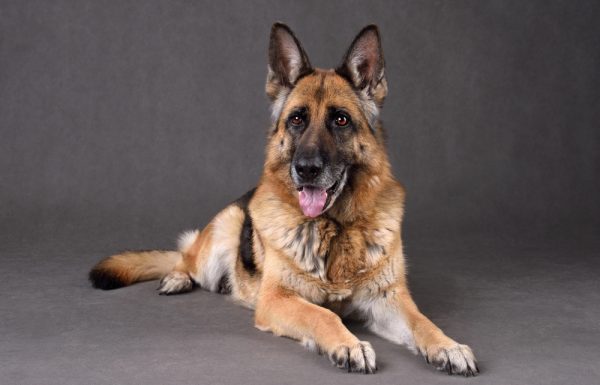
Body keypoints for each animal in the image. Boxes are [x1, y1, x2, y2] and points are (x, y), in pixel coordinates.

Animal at [89, 23, 480, 376]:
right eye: (296, 120)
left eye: (341, 120)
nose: (305, 170)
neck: (336, 228)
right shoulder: (278, 299)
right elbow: (323, 315)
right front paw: (349, 344)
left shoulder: (388, 299)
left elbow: (422, 322)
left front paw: (448, 346)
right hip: (226, 227)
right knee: (185, 257)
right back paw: (177, 278)